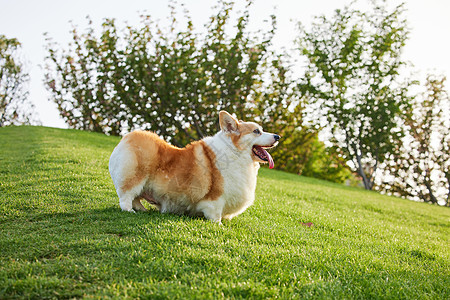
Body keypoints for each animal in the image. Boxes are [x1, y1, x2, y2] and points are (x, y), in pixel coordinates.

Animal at [108, 110, 278, 223]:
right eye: (256, 131)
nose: (277, 136)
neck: (235, 152)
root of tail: (127, 138)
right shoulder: (216, 199)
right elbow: (215, 215)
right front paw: (219, 225)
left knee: (136, 199)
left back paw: (142, 210)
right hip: (135, 177)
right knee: (126, 198)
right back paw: (131, 212)